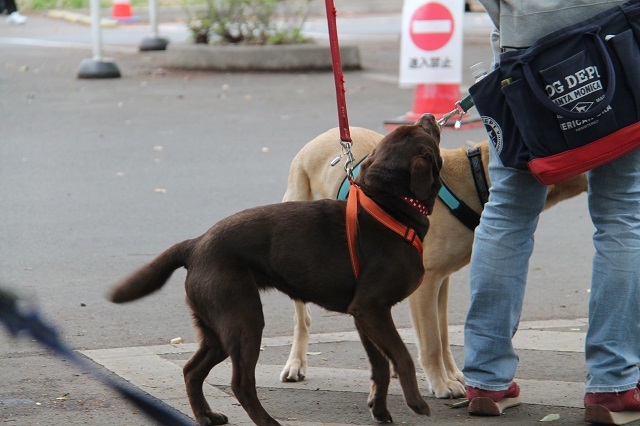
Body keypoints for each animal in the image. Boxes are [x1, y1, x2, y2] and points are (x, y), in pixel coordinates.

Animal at [278, 126, 588, 400]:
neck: (475, 179)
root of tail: (322, 137)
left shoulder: (442, 280)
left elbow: (441, 334)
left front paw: (451, 374)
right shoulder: (427, 282)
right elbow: (430, 342)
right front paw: (441, 384)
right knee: (302, 319)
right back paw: (295, 363)